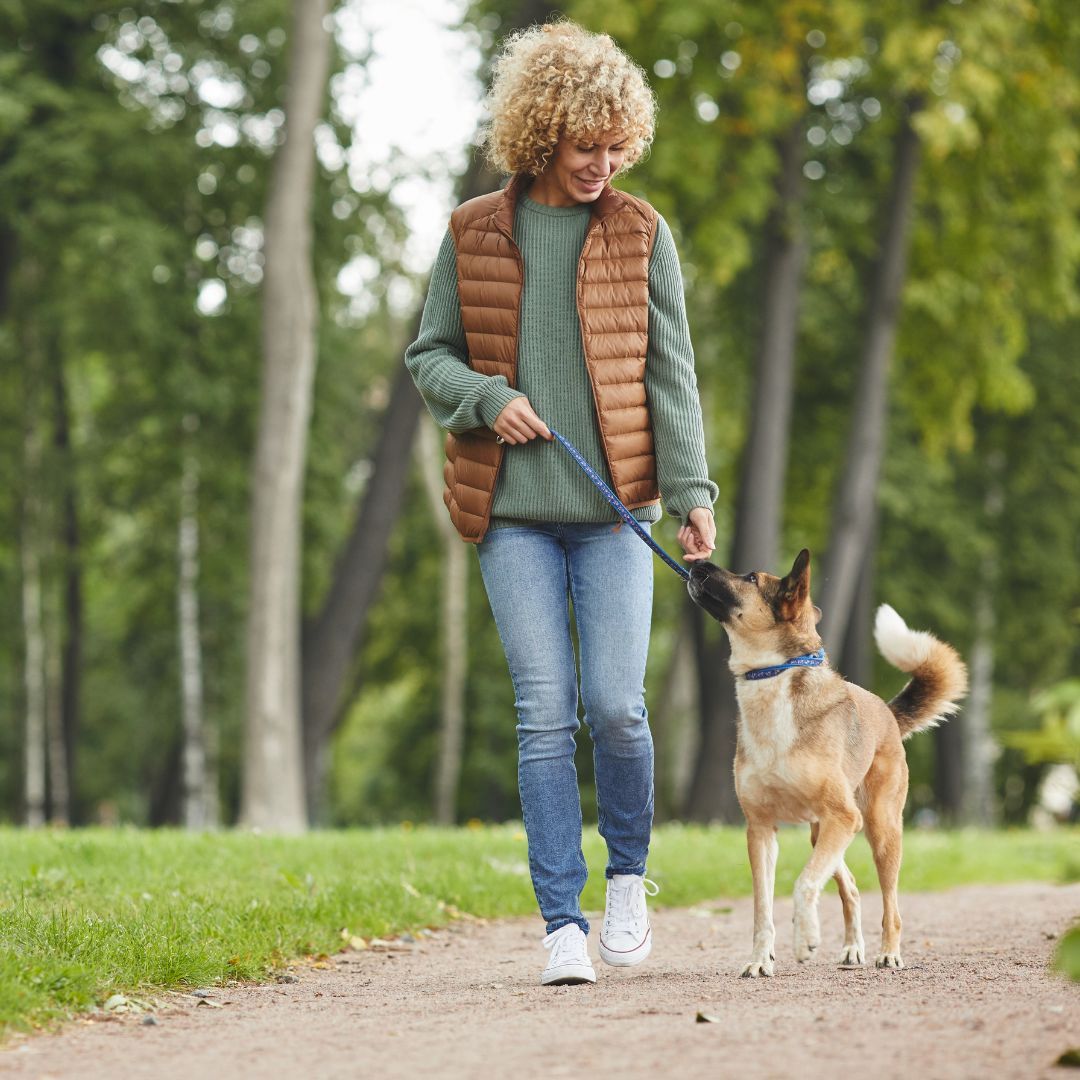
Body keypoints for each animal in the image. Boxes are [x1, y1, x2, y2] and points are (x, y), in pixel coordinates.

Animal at [686, 552, 967, 976]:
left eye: (750, 578)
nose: (696, 562)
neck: (773, 679)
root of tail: (887, 712)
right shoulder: (761, 830)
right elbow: (762, 906)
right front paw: (760, 960)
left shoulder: (843, 817)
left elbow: (803, 884)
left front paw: (805, 939)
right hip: (823, 832)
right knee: (849, 886)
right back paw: (852, 949)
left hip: (877, 828)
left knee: (890, 904)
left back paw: (888, 953)